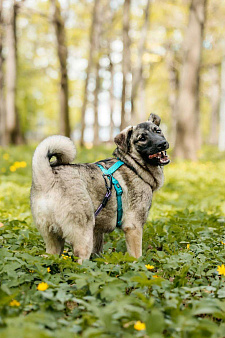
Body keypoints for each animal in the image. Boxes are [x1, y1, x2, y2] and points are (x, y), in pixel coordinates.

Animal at [30, 113, 170, 264]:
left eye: (158, 131)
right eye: (142, 138)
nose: (162, 143)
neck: (133, 165)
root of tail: (48, 177)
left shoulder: (97, 231)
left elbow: (98, 250)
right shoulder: (134, 227)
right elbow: (136, 255)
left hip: (53, 241)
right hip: (83, 235)